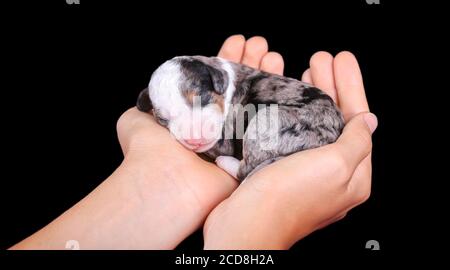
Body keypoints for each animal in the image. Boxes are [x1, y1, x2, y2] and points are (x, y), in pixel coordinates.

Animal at [135, 55, 342, 181]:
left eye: (202, 97)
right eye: (163, 119)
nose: (194, 141)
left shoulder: (223, 140)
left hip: (265, 121)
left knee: (244, 170)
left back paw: (225, 162)